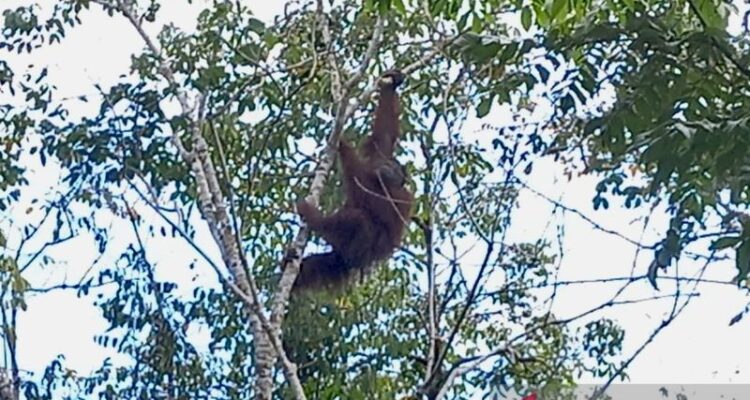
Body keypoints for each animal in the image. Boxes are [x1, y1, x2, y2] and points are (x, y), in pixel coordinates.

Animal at [293, 69, 413, 292]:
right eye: (390, 165)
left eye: (395, 171)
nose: (388, 170)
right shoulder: (378, 156)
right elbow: (384, 135)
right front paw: (391, 82)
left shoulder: (399, 196)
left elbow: (370, 194)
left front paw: (342, 143)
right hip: (335, 260)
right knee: (320, 264)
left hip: (360, 253)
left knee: (359, 220)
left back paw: (315, 218)